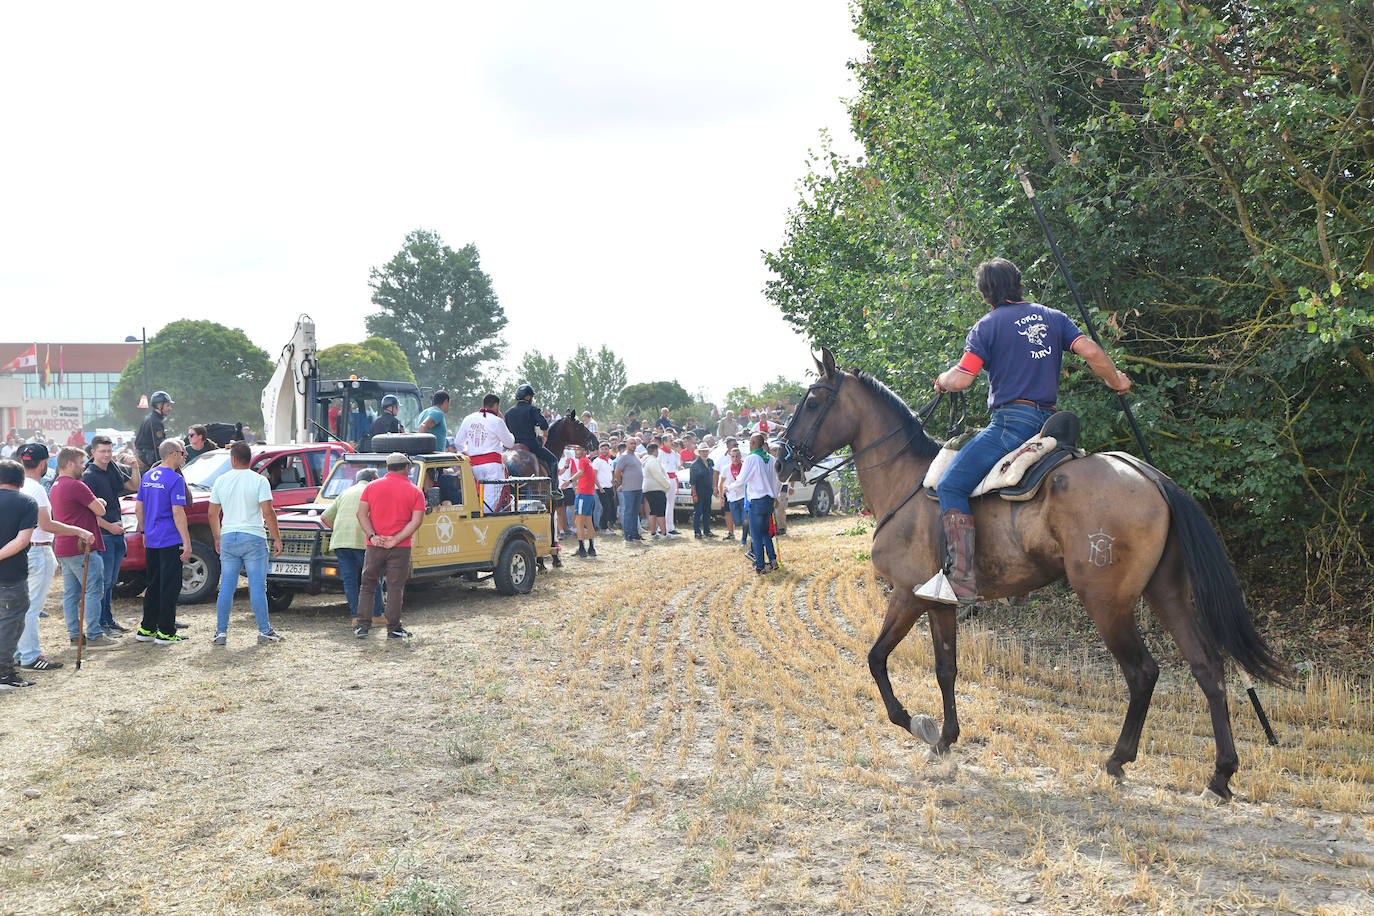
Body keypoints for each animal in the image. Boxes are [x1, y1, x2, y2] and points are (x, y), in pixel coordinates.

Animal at [785, 347, 1286, 796]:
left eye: (811, 401)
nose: (784, 457)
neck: (906, 483)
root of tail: (1148, 475)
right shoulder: (939, 603)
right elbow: (946, 668)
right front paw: (946, 738)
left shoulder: (908, 594)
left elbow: (875, 659)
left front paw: (918, 724)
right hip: (1166, 592)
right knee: (1207, 667)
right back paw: (1220, 775)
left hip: (1107, 602)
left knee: (1143, 672)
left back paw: (1118, 760)